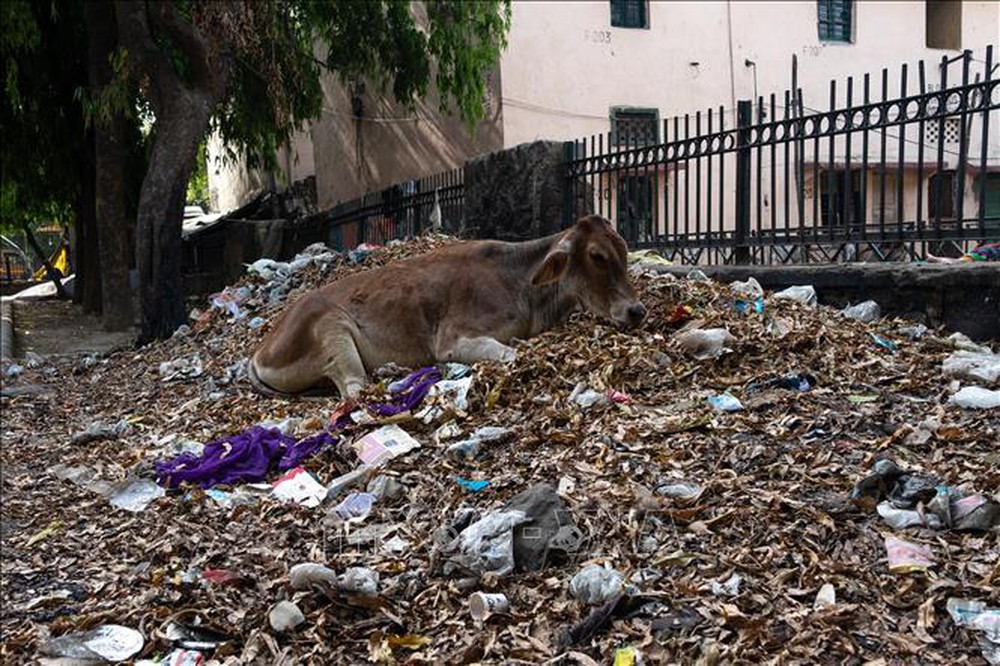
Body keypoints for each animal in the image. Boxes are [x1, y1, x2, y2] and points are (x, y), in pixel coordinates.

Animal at [250, 215, 648, 396]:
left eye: (625, 250)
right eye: (597, 256)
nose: (637, 311)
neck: (520, 284)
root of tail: (261, 348)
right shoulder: (455, 340)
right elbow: (512, 353)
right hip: (332, 331)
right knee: (353, 388)